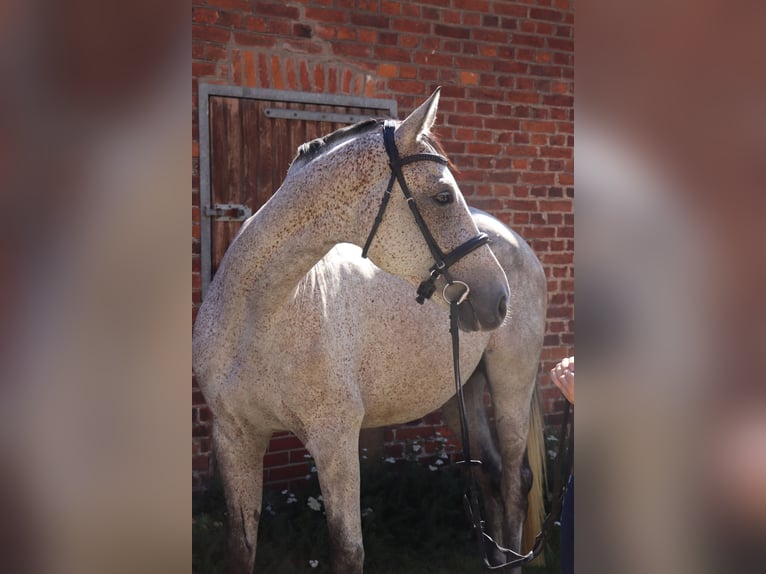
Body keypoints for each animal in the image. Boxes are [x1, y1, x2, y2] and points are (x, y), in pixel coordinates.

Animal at [193, 90, 542, 573]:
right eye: (442, 196)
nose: (498, 299)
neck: (256, 319)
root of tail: (516, 240)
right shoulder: (235, 439)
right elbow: (241, 548)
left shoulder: (335, 441)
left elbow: (348, 551)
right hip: (461, 393)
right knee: (489, 473)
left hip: (512, 383)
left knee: (514, 479)